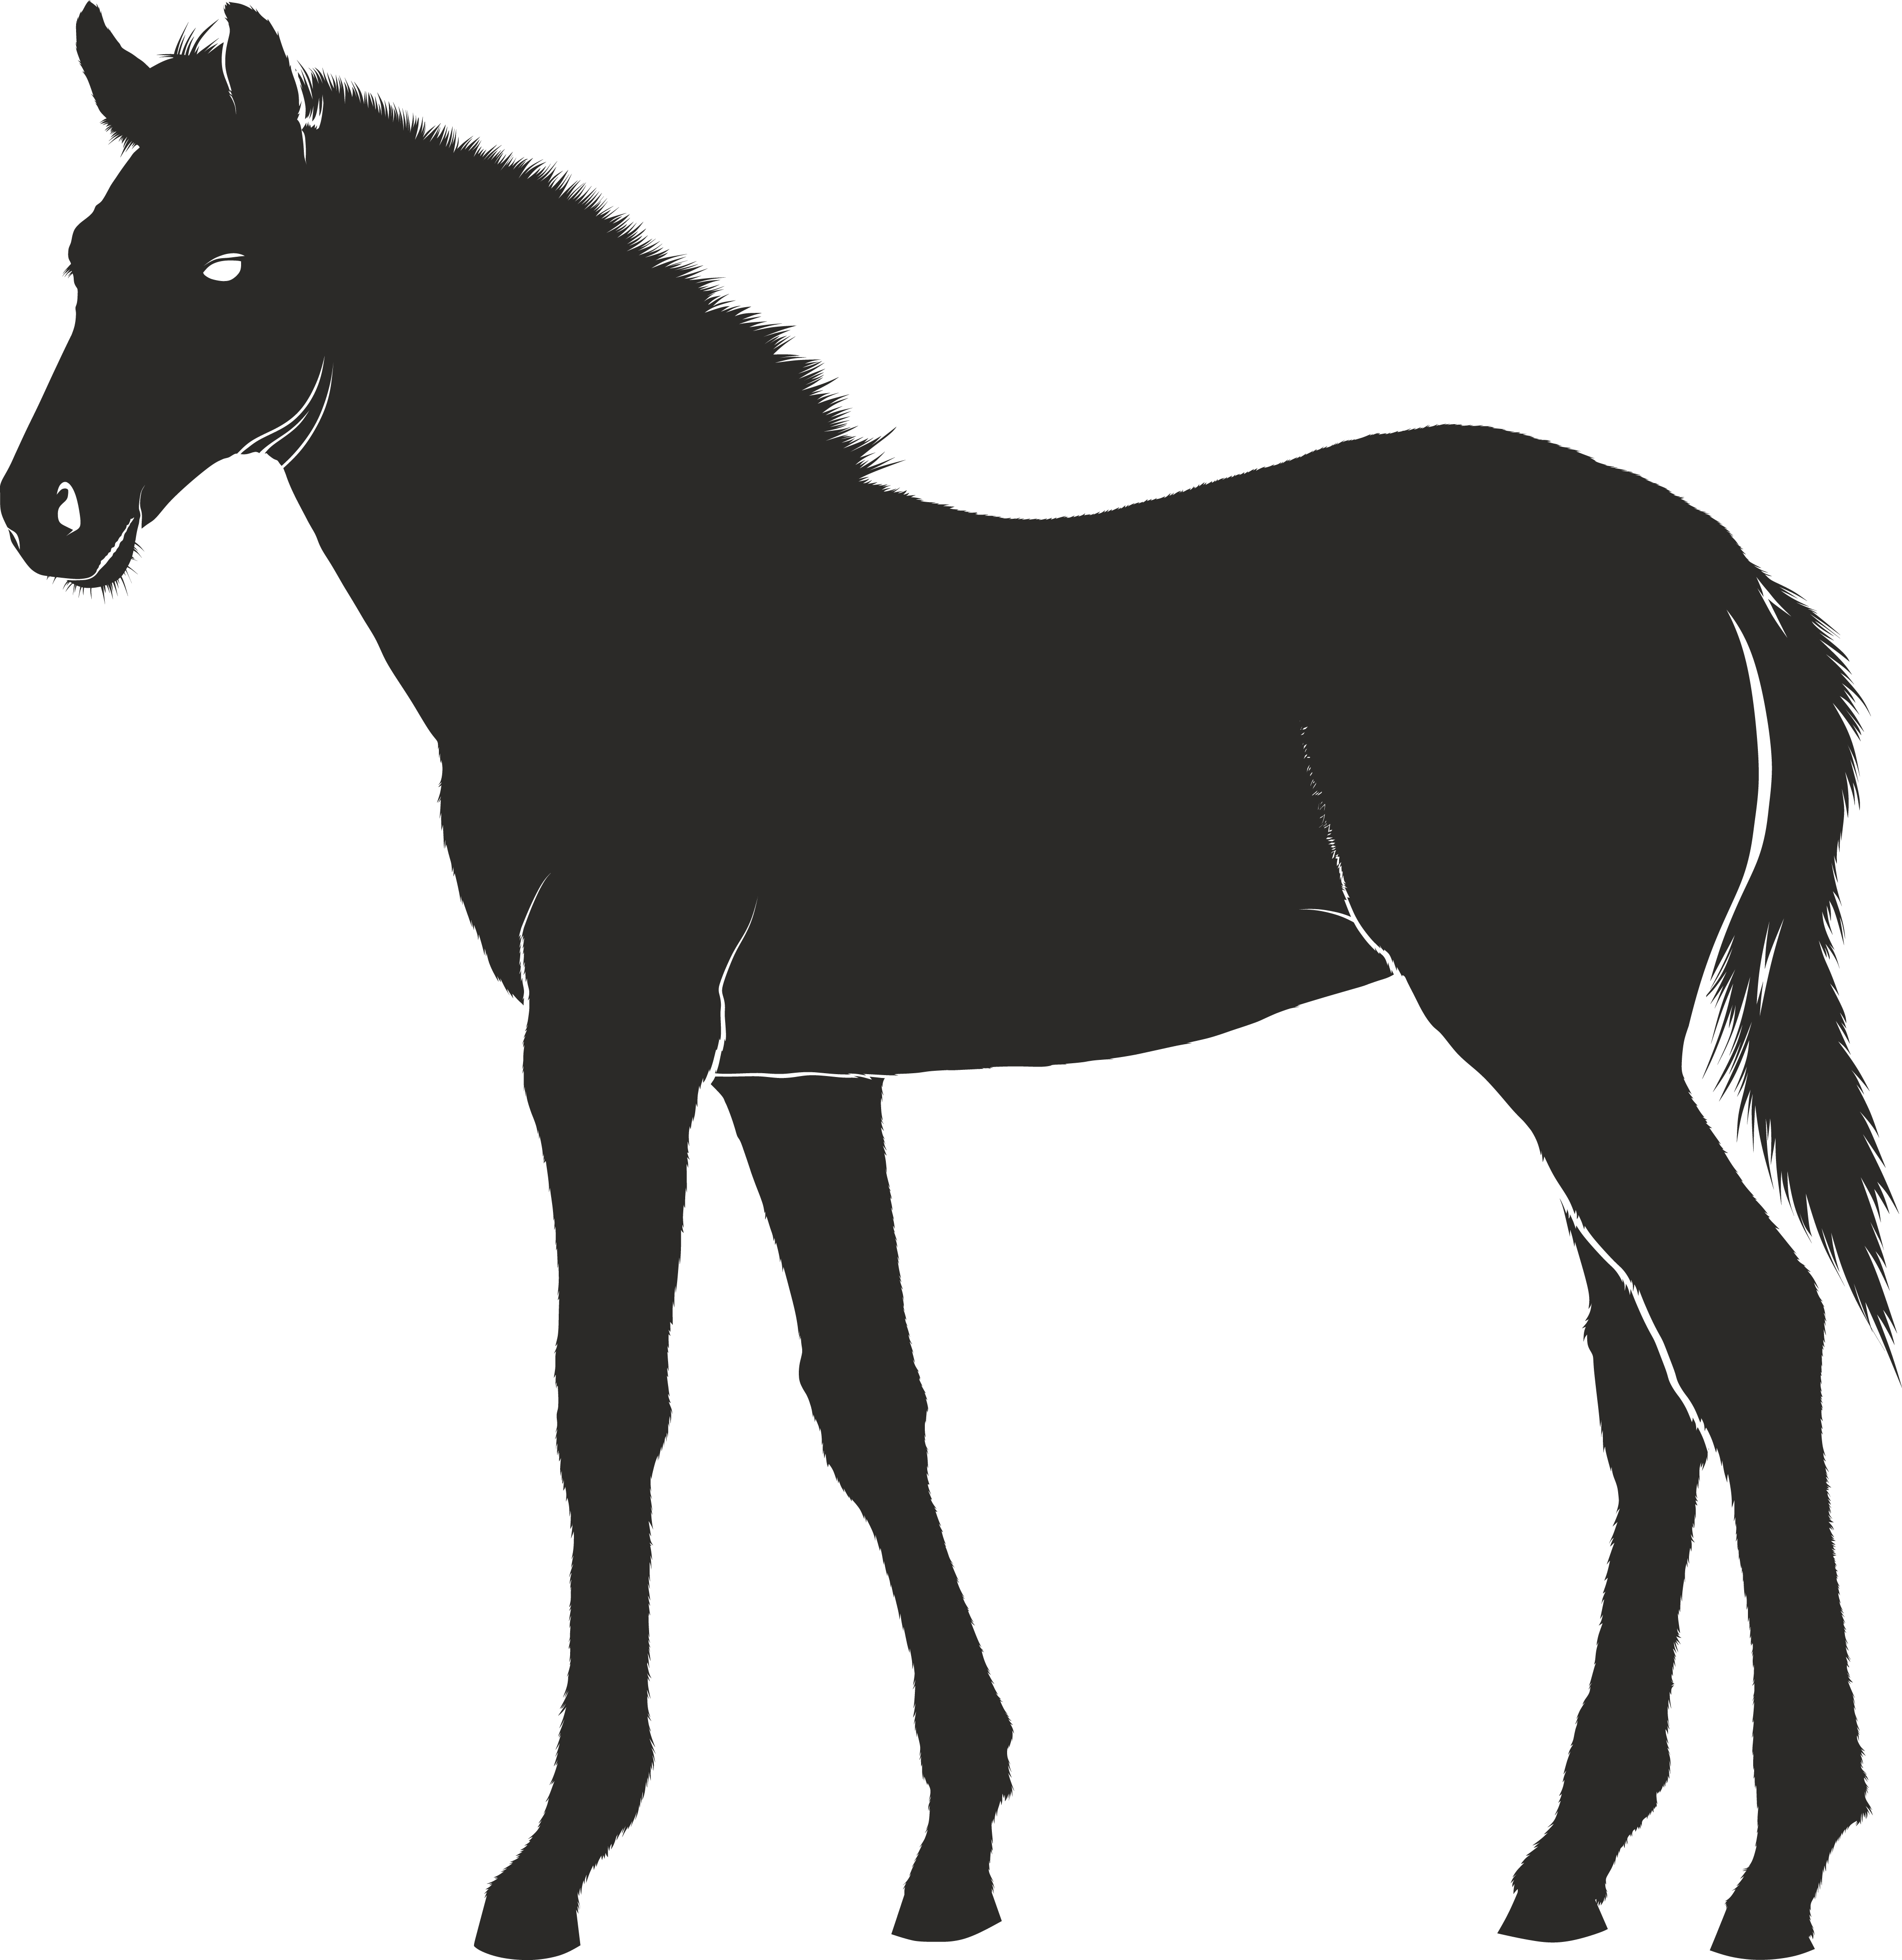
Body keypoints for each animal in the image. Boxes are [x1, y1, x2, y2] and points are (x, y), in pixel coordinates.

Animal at [3, 8, 1889, 1956]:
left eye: (226, 267)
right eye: (80, 267)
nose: (47, 515)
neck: (626, 604)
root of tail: (1714, 575)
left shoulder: (610, 1055)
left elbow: (607, 1405)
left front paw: (552, 1863)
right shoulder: (793, 1080)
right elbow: (869, 1405)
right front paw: (953, 1850)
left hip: (1560, 1047)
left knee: (1747, 1328)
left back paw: (1777, 1869)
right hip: (1571, 1054)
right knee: (1649, 1391)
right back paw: (1569, 1862)